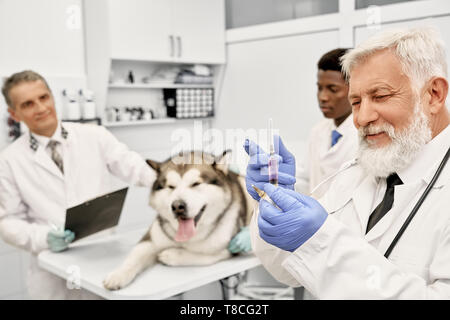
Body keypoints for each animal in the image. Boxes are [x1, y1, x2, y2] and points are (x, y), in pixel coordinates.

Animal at [103, 150, 253, 290]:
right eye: (171, 187)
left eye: (195, 184)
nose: (177, 206)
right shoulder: (150, 239)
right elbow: (134, 256)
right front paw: (118, 274)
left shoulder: (227, 248)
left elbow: (199, 255)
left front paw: (171, 255)